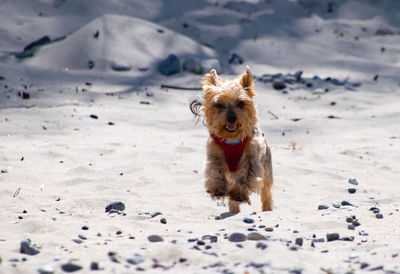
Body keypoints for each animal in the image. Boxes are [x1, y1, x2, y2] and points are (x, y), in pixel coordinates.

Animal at [190, 67, 272, 213]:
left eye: (241, 103)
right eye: (218, 105)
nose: (232, 118)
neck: (232, 139)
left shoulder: (252, 157)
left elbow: (246, 175)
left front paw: (238, 194)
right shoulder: (214, 154)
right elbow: (215, 170)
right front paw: (217, 189)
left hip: (267, 168)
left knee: (266, 191)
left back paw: (267, 208)